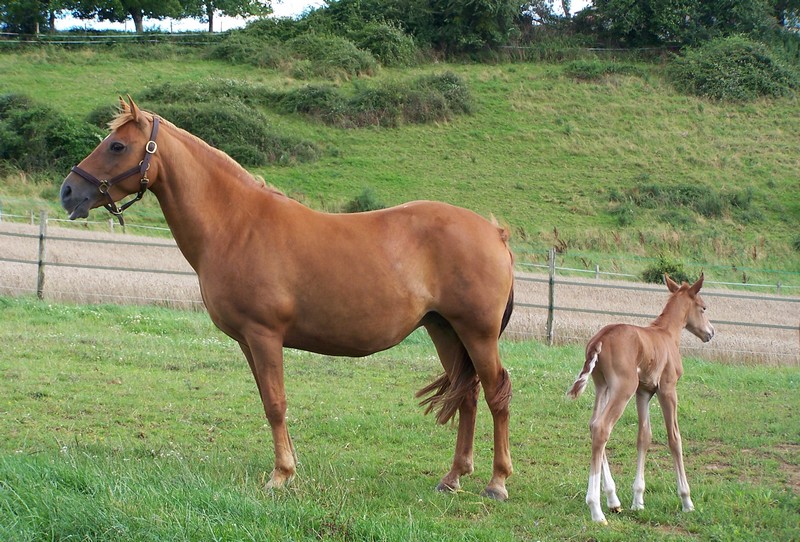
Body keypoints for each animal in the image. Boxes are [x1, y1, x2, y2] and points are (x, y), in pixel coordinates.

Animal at [59, 96, 516, 502]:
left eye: (117, 145)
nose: (68, 191)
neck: (235, 224)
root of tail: (495, 233)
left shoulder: (264, 335)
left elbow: (277, 404)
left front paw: (280, 476)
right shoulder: (248, 341)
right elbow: (268, 401)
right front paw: (289, 467)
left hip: (476, 333)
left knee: (496, 394)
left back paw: (496, 483)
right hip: (445, 330)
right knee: (468, 397)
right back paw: (452, 478)